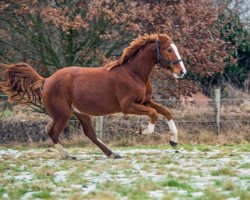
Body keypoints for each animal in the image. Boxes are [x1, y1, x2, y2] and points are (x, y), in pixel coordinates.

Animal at [0, 34, 186, 159]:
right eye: (169, 49)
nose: (182, 72)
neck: (133, 73)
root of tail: (46, 81)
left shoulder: (145, 101)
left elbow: (166, 112)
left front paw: (174, 141)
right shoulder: (128, 106)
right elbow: (154, 114)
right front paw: (143, 131)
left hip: (79, 113)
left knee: (88, 133)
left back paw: (112, 154)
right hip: (63, 114)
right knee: (53, 132)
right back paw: (68, 156)